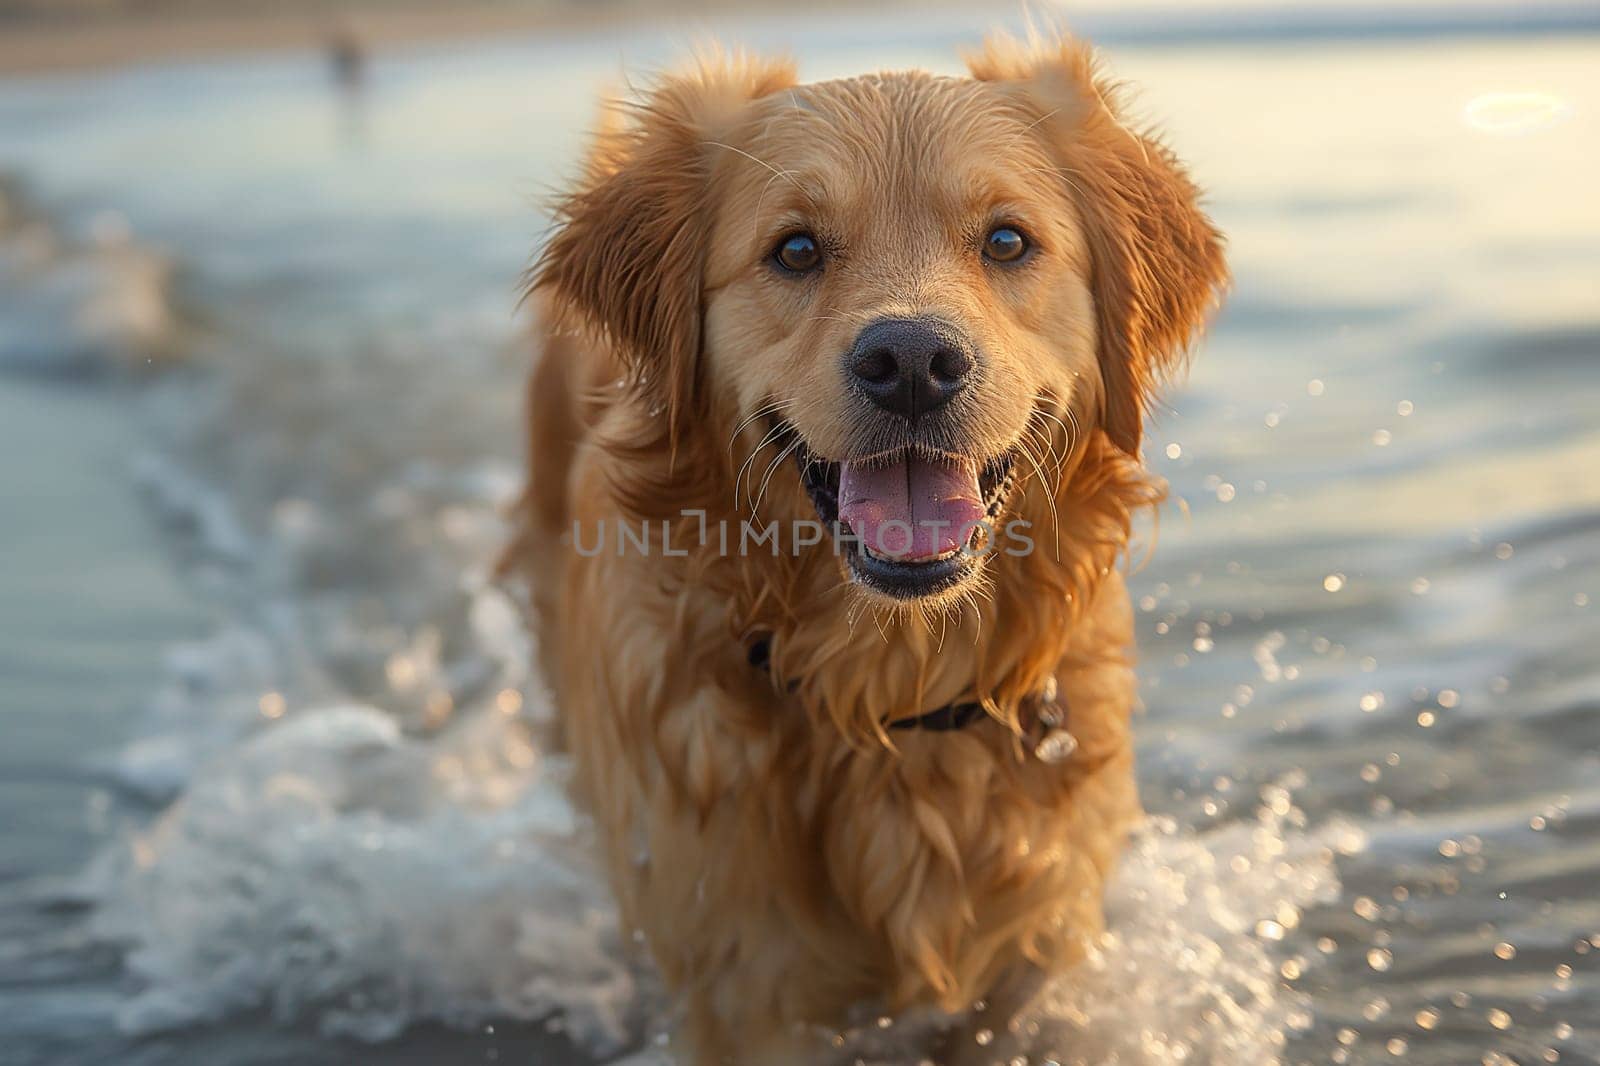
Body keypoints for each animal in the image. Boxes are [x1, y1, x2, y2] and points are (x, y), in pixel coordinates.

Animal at [505, 29, 1228, 1056]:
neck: (891, 696)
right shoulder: (739, 984)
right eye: (796, 249)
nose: (913, 362)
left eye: (1007, 240)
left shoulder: (1031, 953)